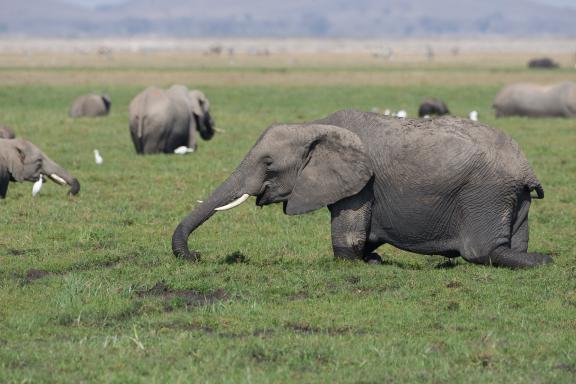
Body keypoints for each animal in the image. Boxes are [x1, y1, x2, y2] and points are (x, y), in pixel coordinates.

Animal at [172, 109, 552, 268]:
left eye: (268, 164)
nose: (196, 256)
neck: (314, 126)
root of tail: (526, 167)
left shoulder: (361, 184)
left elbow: (348, 236)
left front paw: (358, 262)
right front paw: (374, 260)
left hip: (485, 193)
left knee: (482, 251)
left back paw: (542, 260)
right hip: (512, 195)